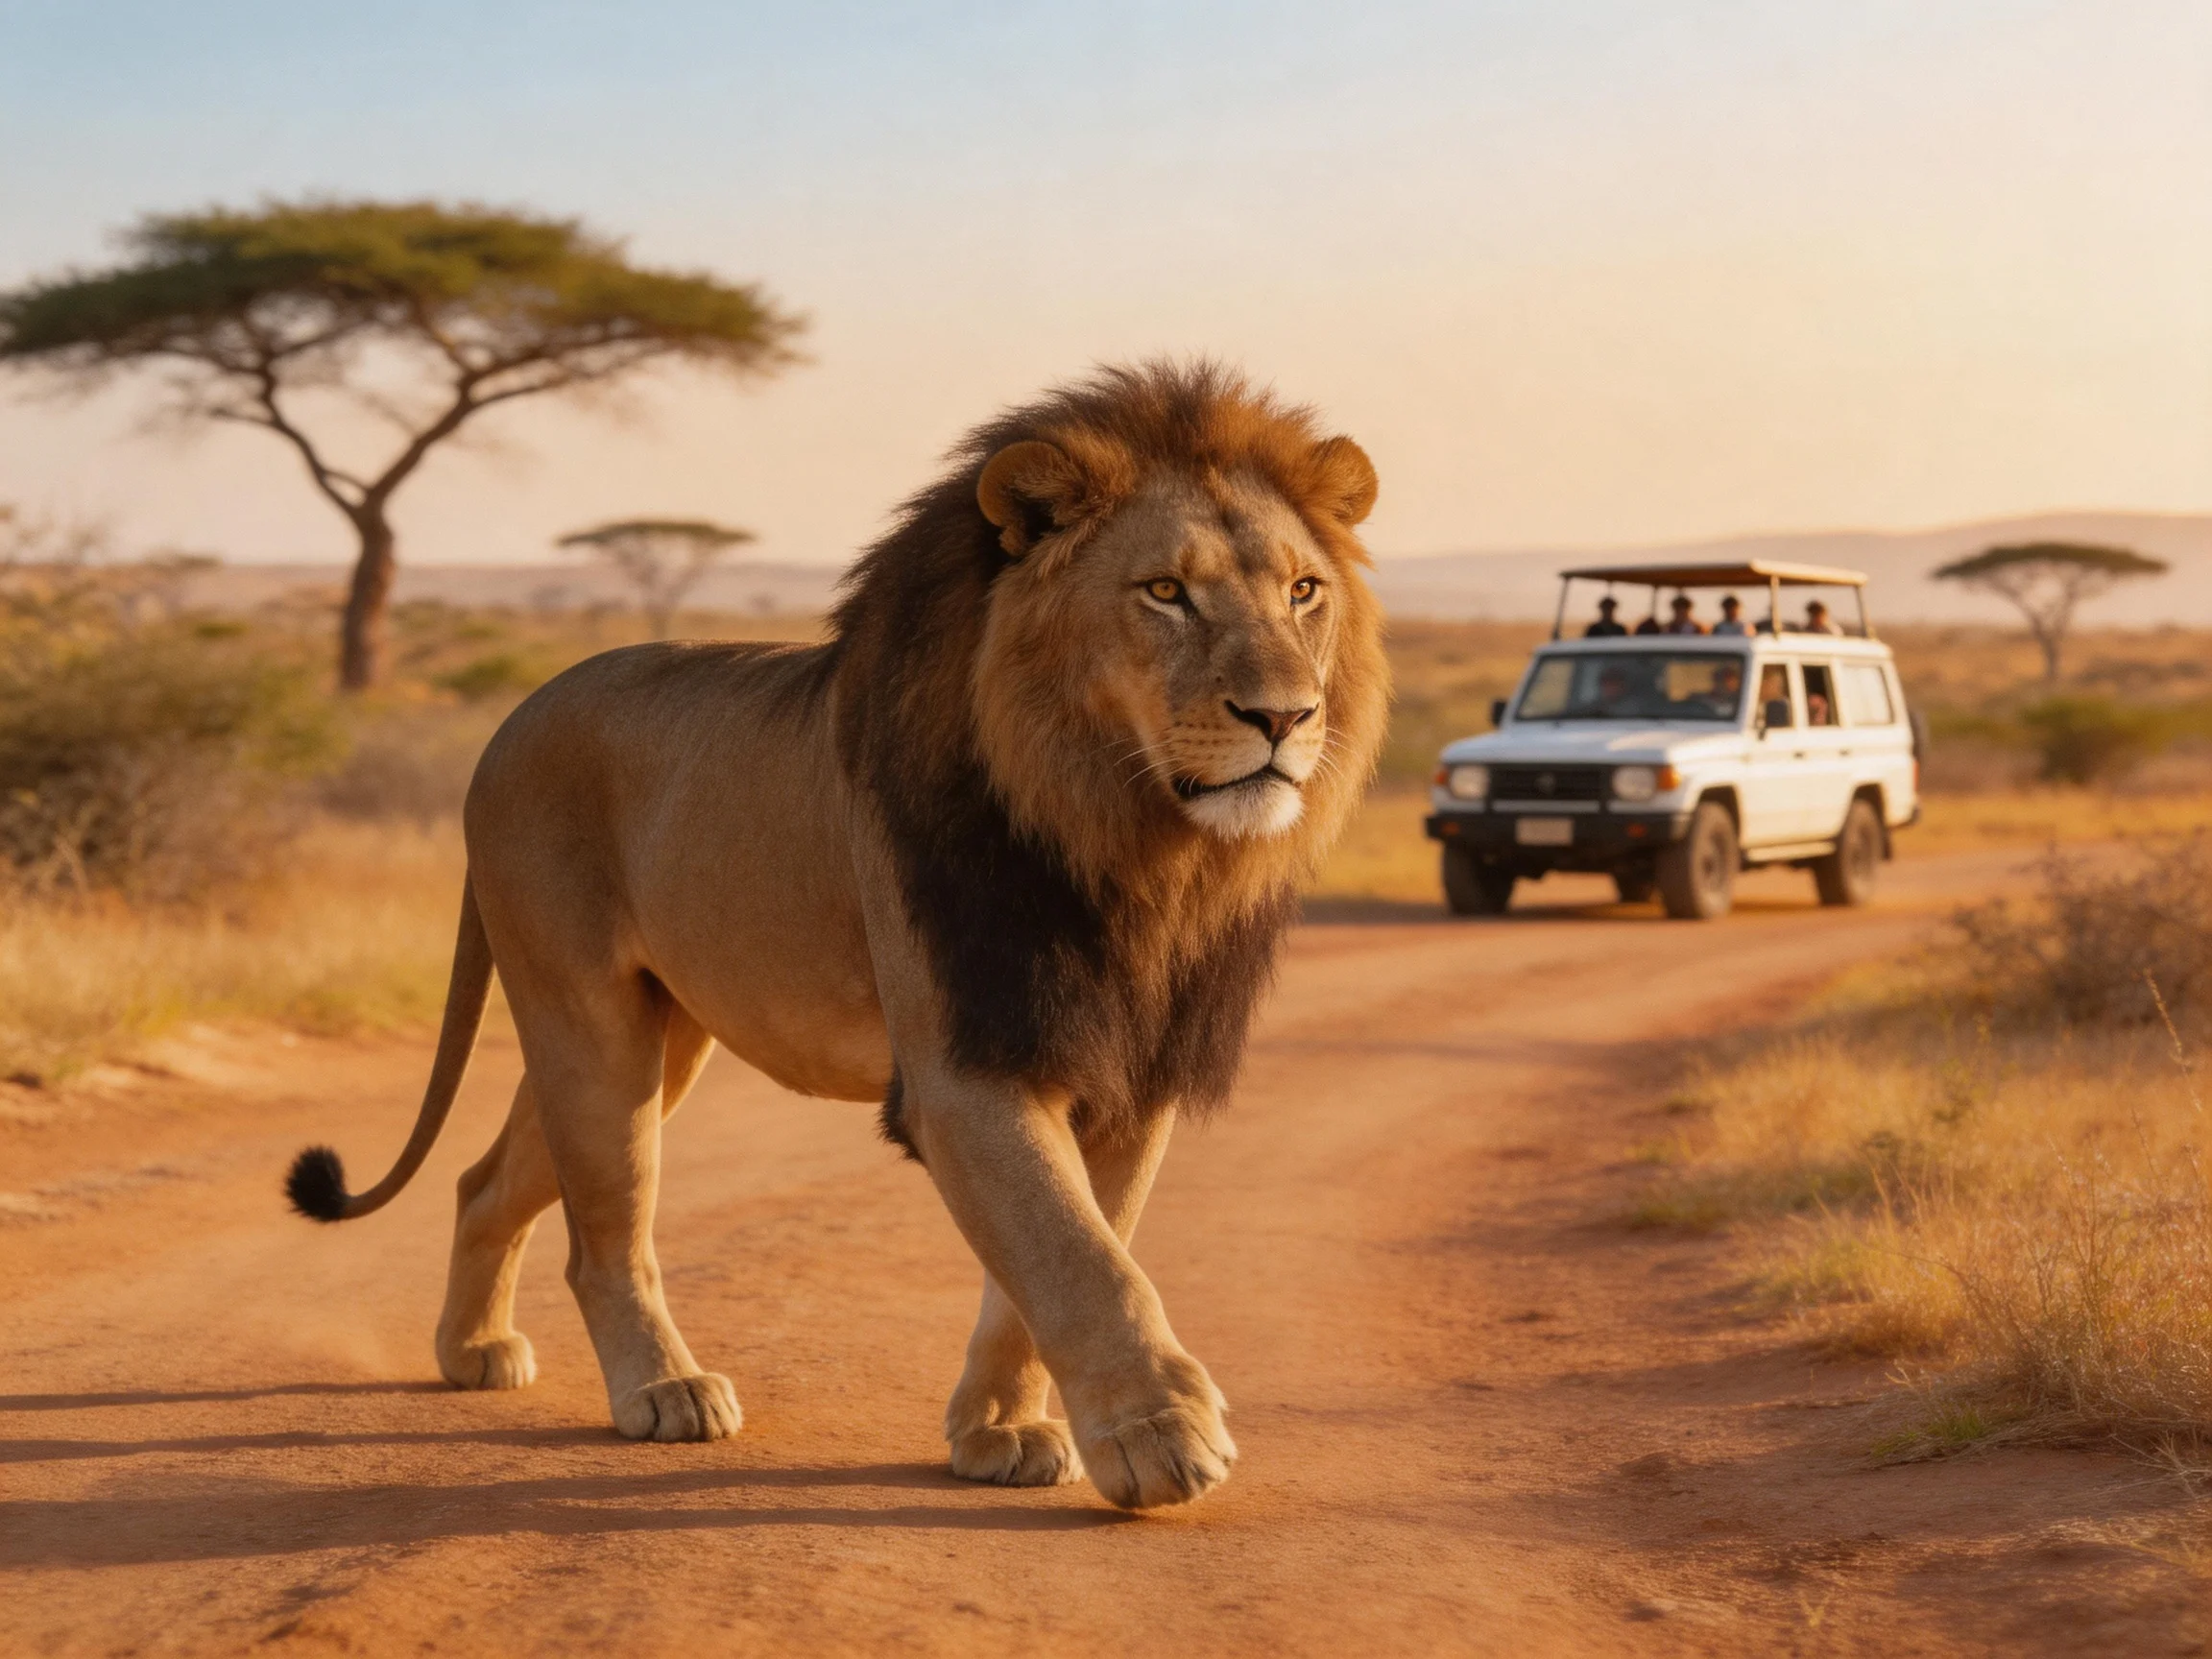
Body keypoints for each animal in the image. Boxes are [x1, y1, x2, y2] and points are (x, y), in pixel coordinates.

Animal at [285, 360, 1388, 1509]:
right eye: (1166, 592)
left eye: (1304, 592)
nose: (1286, 717)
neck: (1129, 845)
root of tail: (511, 721)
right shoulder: (963, 1064)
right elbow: (1077, 1255)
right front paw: (1159, 1436)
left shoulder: (1128, 1065)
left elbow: (1064, 1249)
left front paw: (998, 1428)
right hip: (588, 1019)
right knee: (604, 1234)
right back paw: (663, 1391)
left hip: (659, 1038)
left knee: (487, 1179)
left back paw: (470, 1350)